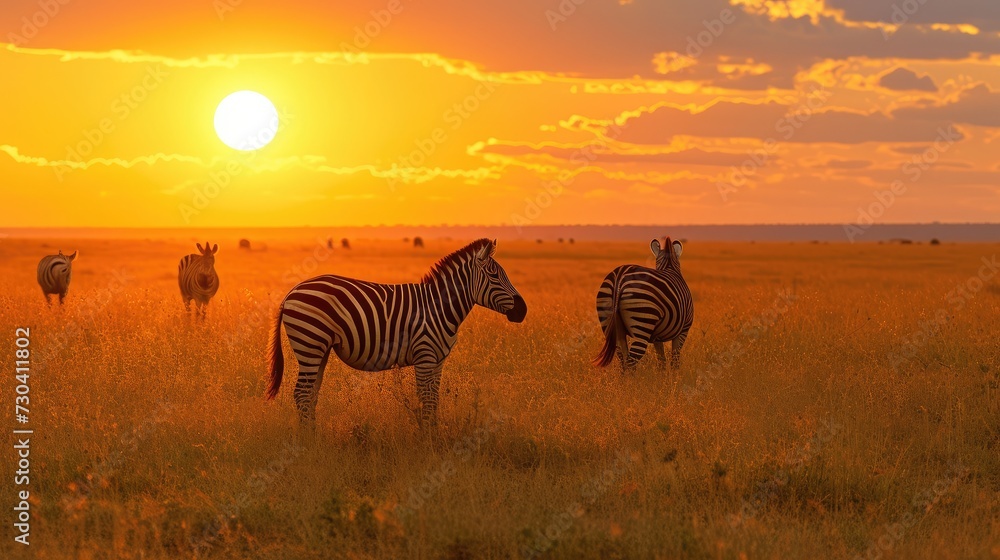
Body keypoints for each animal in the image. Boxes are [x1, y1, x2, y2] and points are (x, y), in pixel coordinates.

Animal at [266, 238, 527, 427]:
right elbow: (426, 401)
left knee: (310, 395)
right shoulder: (425, 357)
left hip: (319, 349)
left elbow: (434, 400)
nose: (522, 310)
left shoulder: (438, 360)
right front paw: (427, 440)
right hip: (310, 342)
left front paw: (433, 435)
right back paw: (308, 442)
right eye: (494, 275)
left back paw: (313, 436)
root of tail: (292, 291)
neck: (439, 306)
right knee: (302, 394)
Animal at [594, 237, 693, 374]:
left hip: (609, 323)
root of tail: (619, 277)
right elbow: (675, 359)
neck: (669, 266)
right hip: (642, 321)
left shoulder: (657, 337)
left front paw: (663, 377)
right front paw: (675, 376)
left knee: (622, 358)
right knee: (631, 361)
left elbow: (661, 360)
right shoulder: (683, 330)